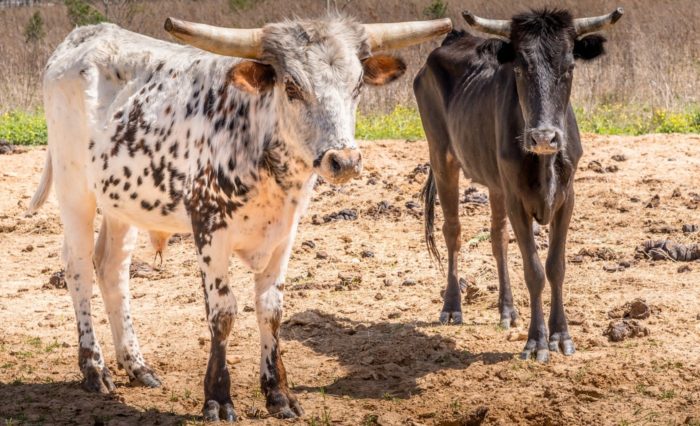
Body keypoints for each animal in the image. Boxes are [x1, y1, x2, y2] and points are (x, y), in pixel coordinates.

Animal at [24, 15, 452, 422]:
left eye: (358, 85)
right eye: (292, 87)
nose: (343, 161)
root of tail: (81, 38)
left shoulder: (285, 233)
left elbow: (271, 309)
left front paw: (278, 394)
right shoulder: (209, 230)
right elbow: (223, 313)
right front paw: (217, 397)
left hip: (120, 202)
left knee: (112, 269)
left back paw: (137, 366)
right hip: (74, 188)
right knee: (79, 267)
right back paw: (94, 369)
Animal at [416, 8, 624, 362]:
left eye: (569, 67)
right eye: (519, 68)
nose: (543, 137)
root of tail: (453, 38)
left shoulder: (566, 198)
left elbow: (556, 267)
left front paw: (561, 336)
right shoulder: (518, 201)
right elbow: (534, 270)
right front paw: (537, 341)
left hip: (496, 182)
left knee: (497, 235)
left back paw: (507, 310)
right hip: (442, 156)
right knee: (453, 231)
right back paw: (452, 306)